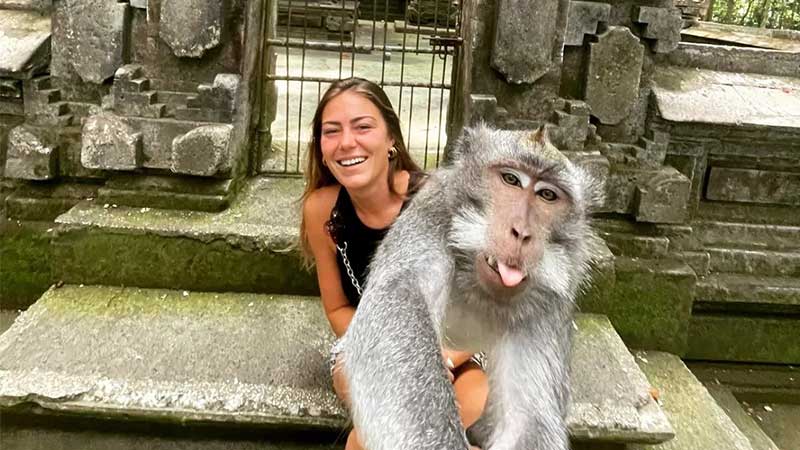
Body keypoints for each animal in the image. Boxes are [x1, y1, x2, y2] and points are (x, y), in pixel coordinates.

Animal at [340, 124, 603, 450]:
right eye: (511, 179)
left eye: (547, 195)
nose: (522, 233)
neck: (478, 288)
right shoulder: (433, 215)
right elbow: (398, 299)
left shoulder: (551, 301)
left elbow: (529, 419)